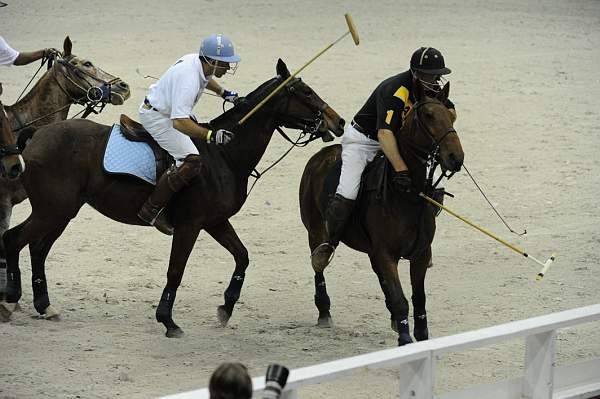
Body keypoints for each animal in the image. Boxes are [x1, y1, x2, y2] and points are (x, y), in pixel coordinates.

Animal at [2, 60, 344, 338]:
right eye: (306, 92)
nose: (338, 122)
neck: (224, 156)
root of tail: (35, 135)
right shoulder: (190, 225)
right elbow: (176, 270)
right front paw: (168, 320)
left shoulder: (216, 221)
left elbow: (242, 256)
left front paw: (226, 308)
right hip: (52, 210)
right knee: (13, 238)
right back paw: (10, 299)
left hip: (63, 211)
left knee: (37, 247)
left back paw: (44, 305)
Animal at [300, 79, 464, 346]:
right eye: (429, 115)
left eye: (451, 115)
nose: (456, 158)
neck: (407, 196)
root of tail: (320, 156)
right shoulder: (386, 253)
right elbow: (400, 298)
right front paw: (406, 340)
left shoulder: (419, 254)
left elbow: (418, 299)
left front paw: (421, 336)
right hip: (315, 228)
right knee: (319, 264)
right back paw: (324, 310)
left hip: (370, 248)